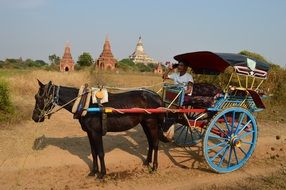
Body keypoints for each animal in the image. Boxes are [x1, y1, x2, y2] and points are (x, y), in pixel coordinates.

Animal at [32, 80, 169, 178]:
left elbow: (101, 153)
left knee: (155, 143)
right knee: (150, 142)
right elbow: (94, 153)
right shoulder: (90, 133)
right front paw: (93, 172)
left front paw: (102, 173)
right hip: (145, 123)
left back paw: (154, 167)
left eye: (38, 97)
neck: (85, 104)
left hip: (151, 123)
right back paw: (147, 162)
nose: (35, 117)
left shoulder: (96, 133)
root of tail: (156, 96)